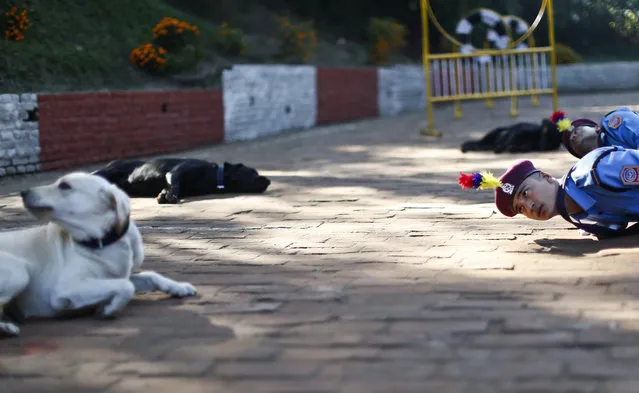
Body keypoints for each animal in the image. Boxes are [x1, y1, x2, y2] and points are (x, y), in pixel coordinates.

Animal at [0, 173, 196, 336]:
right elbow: (126, 286)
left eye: (64, 186)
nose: (23, 192)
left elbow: (150, 276)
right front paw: (110, 309)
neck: (102, 243)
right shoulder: (66, 288)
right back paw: (6, 328)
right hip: (20, 272)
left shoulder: (118, 275)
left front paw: (179, 287)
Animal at [92, 158, 270, 204]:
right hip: (105, 172)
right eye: (253, 172)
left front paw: (165, 194)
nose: (268, 180)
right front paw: (170, 195)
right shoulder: (177, 171)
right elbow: (175, 185)